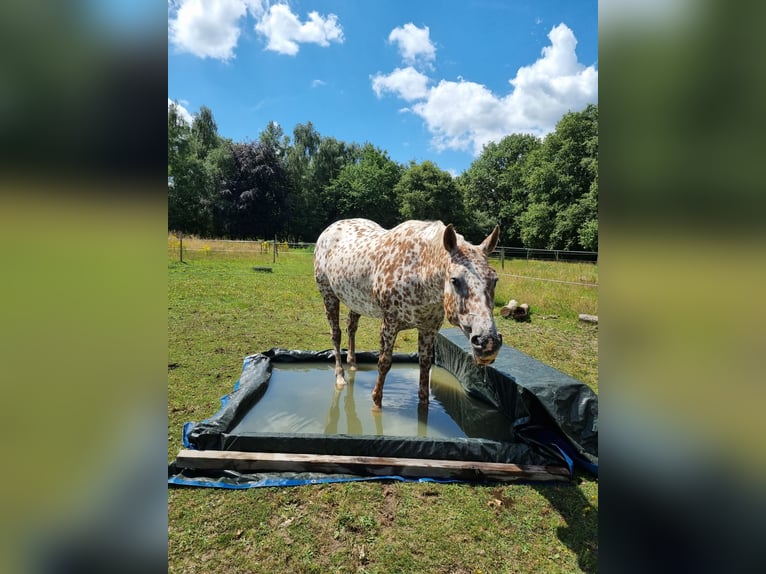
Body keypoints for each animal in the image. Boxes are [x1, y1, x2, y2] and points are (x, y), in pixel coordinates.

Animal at [316, 218, 508, 412]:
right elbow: (384, 362)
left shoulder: (429, 328)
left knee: (351, 328)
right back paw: (340, 376)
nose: (488, 343)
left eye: (495, 280)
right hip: (328, 295)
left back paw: (353, 363)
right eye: (455, 280)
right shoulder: (390, 324)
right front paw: (376, 403)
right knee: (336, 334)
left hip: (355, 302)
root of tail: (331, 228)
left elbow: (425, 365)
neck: (418, 273)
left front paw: (423, 407)